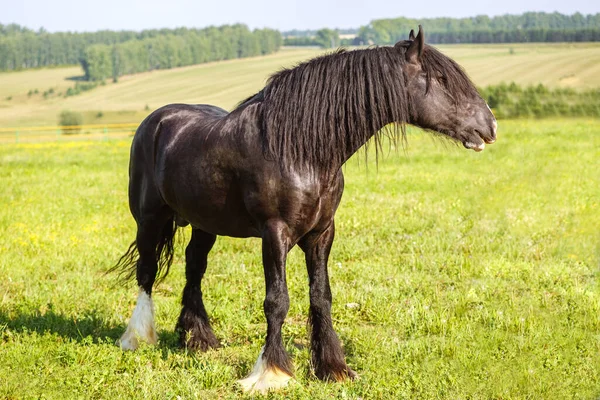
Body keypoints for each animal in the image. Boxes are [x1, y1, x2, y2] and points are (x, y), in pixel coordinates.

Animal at [112, 27, 496, 394]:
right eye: (442, 80)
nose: (489, 126)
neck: (302, 150)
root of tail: (156, 120)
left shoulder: (322, 233)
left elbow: (321, 296)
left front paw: (333, 368)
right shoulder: (275, 233)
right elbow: (277, 300)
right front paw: (271, 373)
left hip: (204, 223)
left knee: (194, 267)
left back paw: (199, 339)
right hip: (149, 220)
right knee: (147, 272)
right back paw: (137, 338)